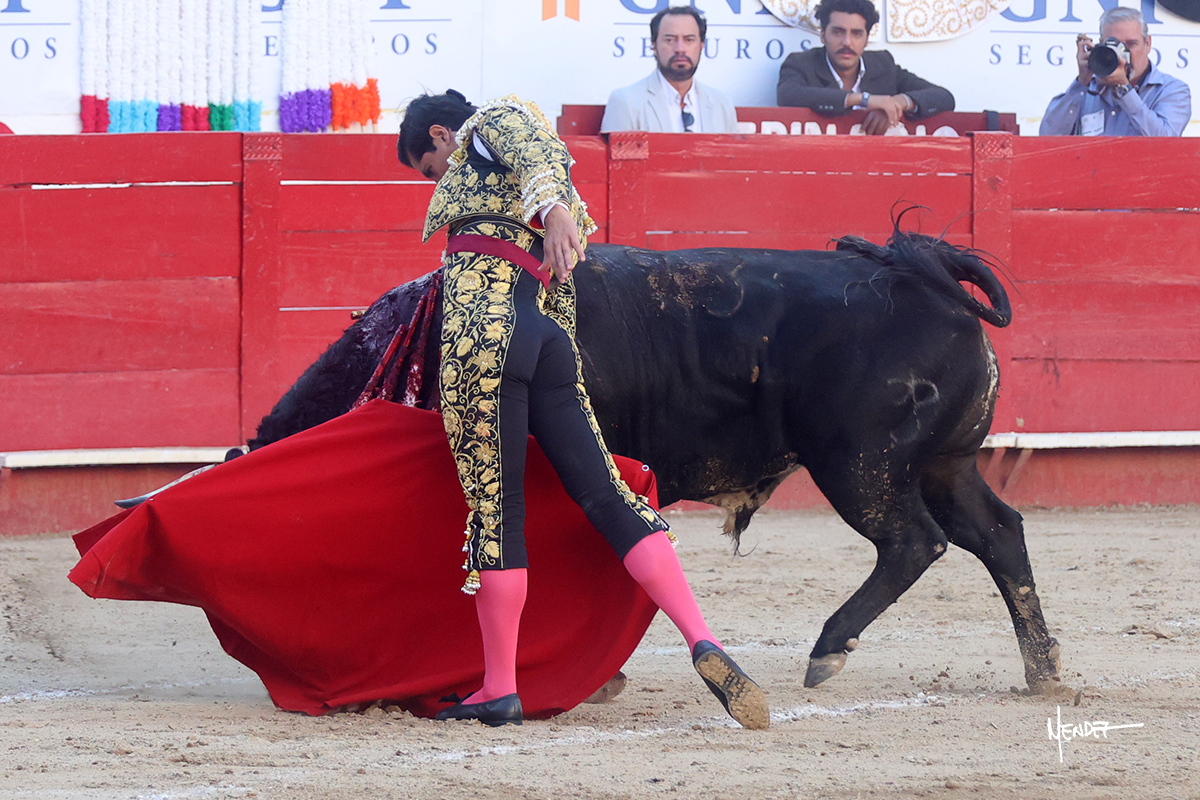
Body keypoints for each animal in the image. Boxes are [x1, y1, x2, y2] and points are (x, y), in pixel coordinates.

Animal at [245, 231, 1063, 695]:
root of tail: (924, 275)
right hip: (943, 465)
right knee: (1000, 533)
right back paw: (1043, 670)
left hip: (861, 461)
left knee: (914, 542)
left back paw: (829, 650)